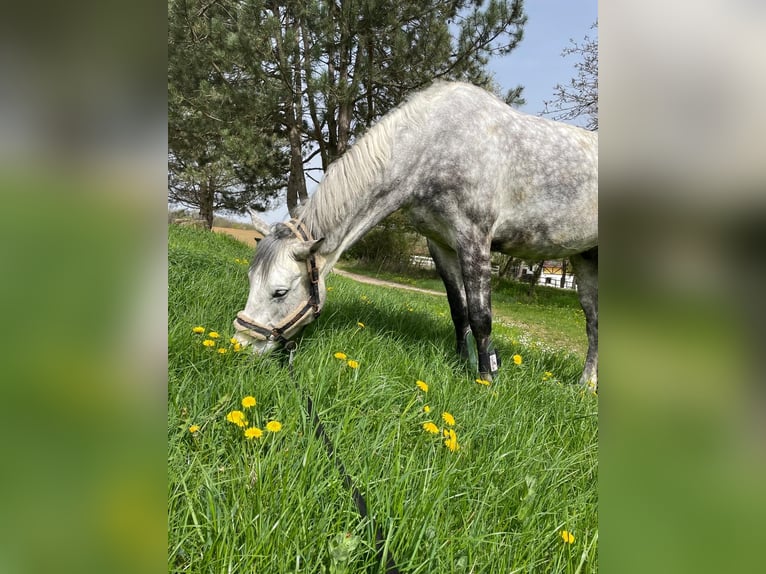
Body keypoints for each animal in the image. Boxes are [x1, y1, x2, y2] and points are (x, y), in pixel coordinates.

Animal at [234, 81, 600, 390]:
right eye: (251, 280)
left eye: (280, 292)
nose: (241, 345)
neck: (435, 145)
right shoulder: (439, 244)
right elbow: (459, 311)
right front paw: (463, 364)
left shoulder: (474, 240)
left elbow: (481, 317)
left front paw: (486, 380)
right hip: (585, 257)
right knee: (593, 320)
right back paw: (585, 386)